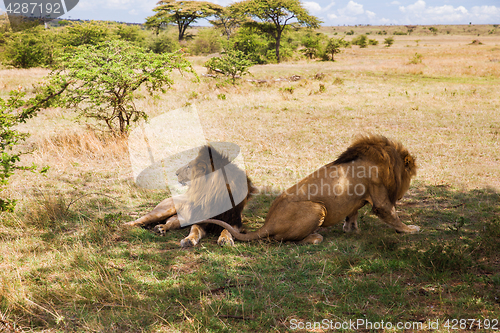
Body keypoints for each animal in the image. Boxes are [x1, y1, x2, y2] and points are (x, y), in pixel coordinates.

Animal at [197, 134, 420, 244]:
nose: (403, 195)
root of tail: (268, 223)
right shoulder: (380, 197)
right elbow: (393, 216)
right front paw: (410, 229)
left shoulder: (357, 199)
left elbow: (352, 216)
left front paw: (352, 230)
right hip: (317, 207)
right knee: (280, 239)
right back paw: (315, 237)